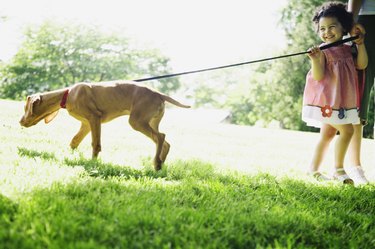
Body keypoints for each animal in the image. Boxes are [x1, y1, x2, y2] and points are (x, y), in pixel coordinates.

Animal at [19, 80, 191, 170]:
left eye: (25, 107)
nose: (20, 121)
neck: (67, 95)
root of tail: (159, 93)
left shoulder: (94, 118)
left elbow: (95, 143)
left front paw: (92, 163)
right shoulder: (86, 124)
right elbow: (74, 141)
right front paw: (70, 157)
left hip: (137, 121)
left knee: (160, 137)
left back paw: (156, 163)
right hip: (151, 121)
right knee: (164, 142)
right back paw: (160, 163)